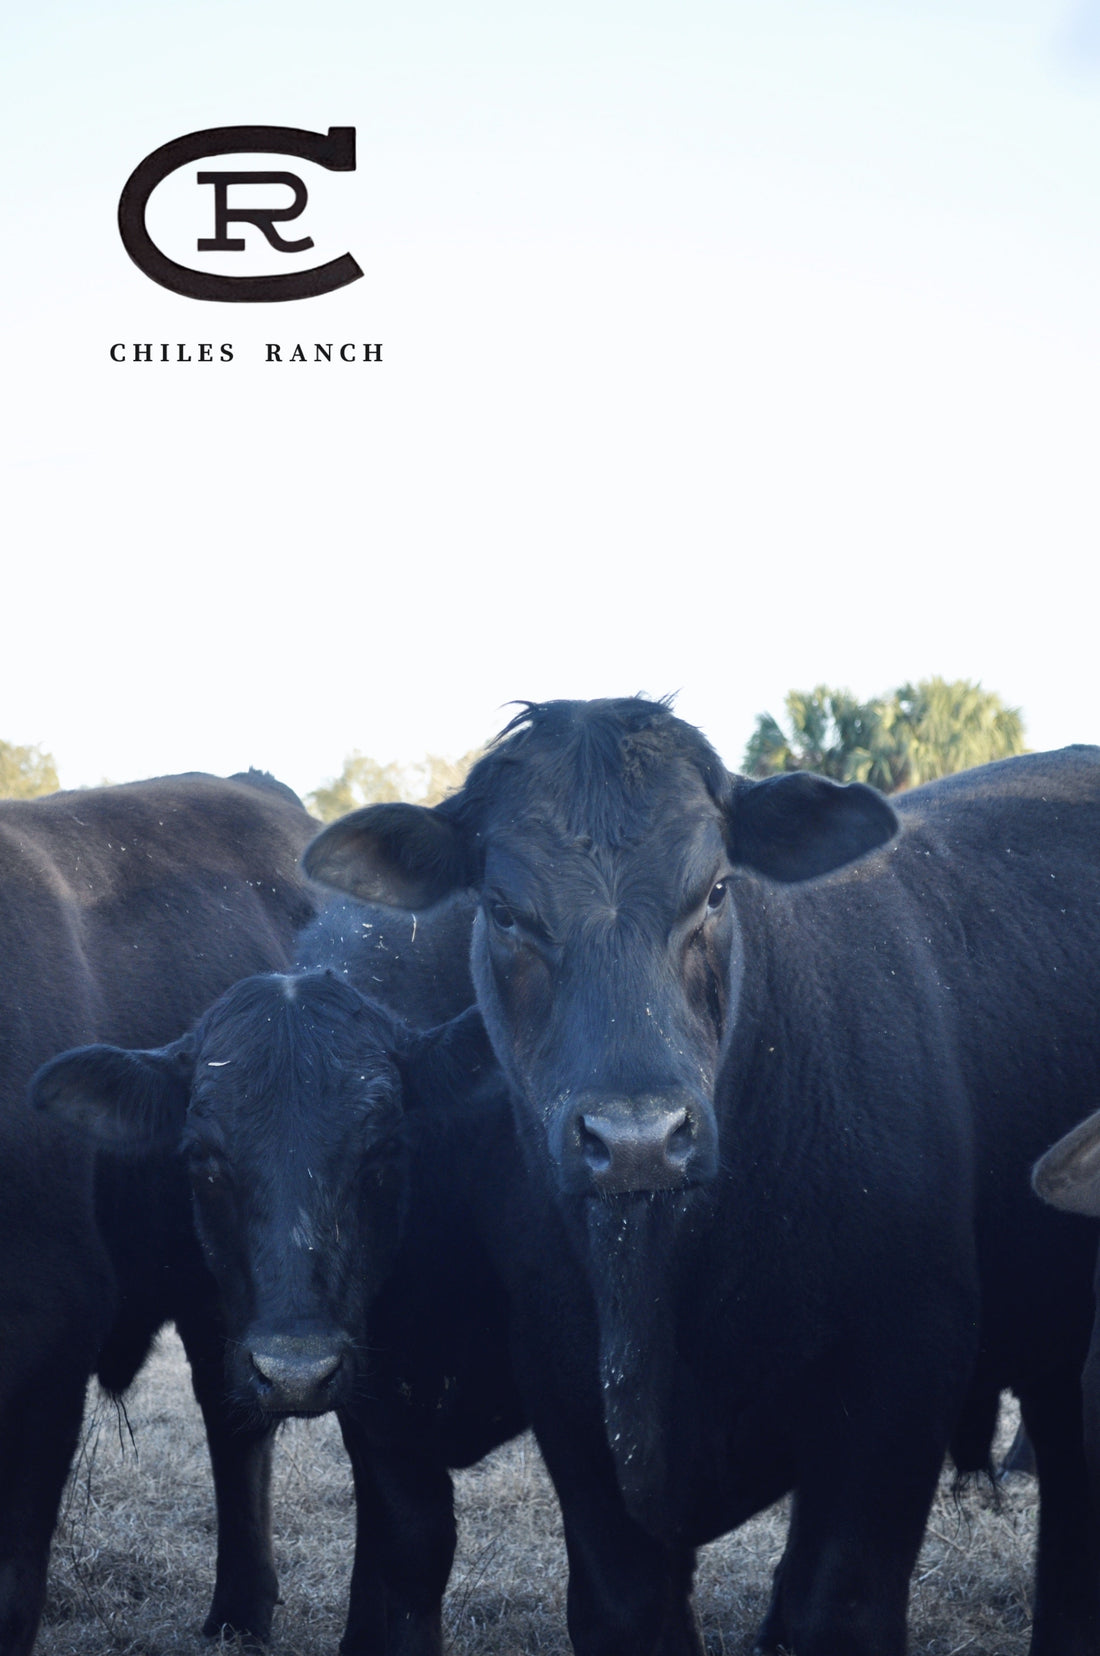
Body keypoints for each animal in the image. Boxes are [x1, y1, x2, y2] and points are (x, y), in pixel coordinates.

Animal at [299, 696, 1100, 1656]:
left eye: (716, 890)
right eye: (501, 910)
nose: (637, 1138)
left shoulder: (901, 1380)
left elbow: (835, 1606)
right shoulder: (573, 1411)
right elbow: (624, 1607)